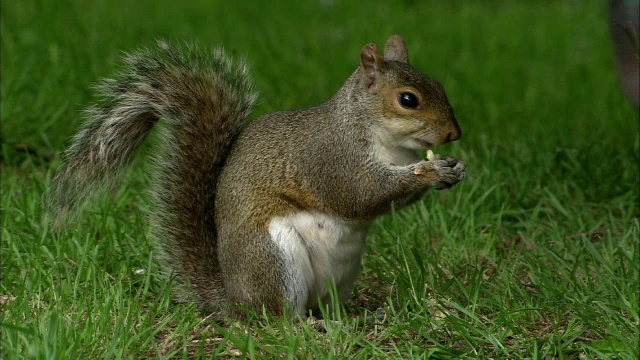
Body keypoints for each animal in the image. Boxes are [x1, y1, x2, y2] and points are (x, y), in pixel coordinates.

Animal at [46, 34, 464, 318]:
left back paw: (356, 317)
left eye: (441, 85)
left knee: (325, 308)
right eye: (408, 100)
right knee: (279, 317)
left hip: (340, 276)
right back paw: (307, 326)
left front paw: (452, 169)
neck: (389, 144)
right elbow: (361, 194)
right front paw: (430, 171)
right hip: (275, 257)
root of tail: (234, 299)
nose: (453, 134)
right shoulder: (331, 159)